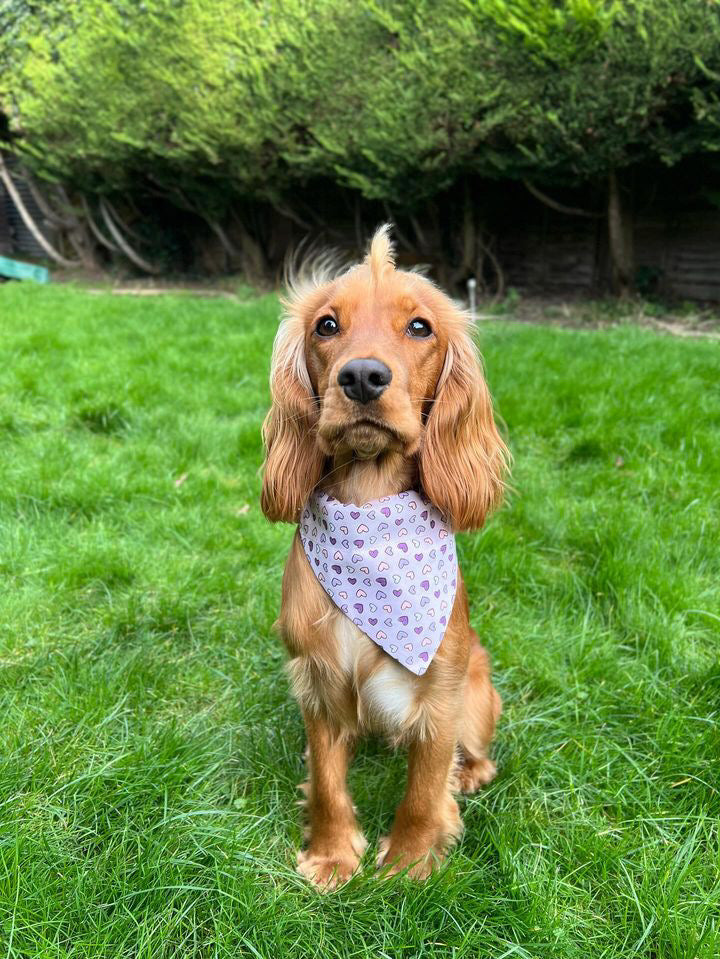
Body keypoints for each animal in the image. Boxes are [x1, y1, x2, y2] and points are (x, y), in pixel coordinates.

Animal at [262, 225, 510, 884]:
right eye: (326, 325)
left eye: (420, 327)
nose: (363, 377)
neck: (370, 510)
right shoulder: (318, 681)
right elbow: (327, 781)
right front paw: (330, 855)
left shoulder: (442, 692)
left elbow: (425, 786)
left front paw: (410, 861)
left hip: (481, 691)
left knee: (475, 750)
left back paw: (471, 772)